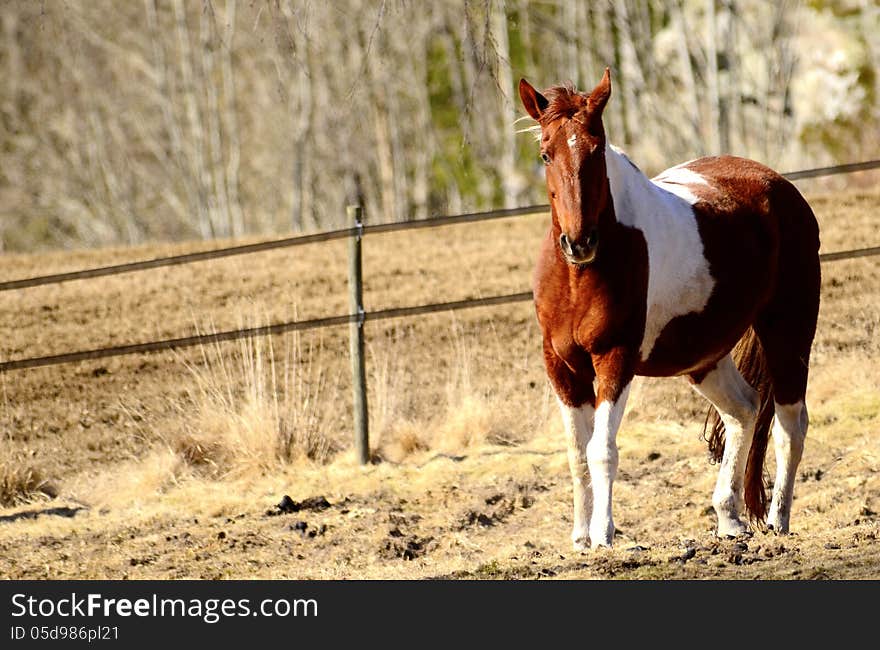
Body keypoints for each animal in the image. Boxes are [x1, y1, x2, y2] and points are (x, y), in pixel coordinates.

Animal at [520, 69, 820, 548]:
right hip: (704, 357)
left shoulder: (615, 359)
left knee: (790, 424)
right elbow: (576, 453)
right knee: (745, 409)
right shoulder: (561, 366)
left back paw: (778, 521)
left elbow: (601, 450)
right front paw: (580, 536)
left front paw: (603, 534)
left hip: (788, 331)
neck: (579, 277)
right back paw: (729, 518)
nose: (579, 242)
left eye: (597, 149)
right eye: (546, 153)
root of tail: (780, 186)